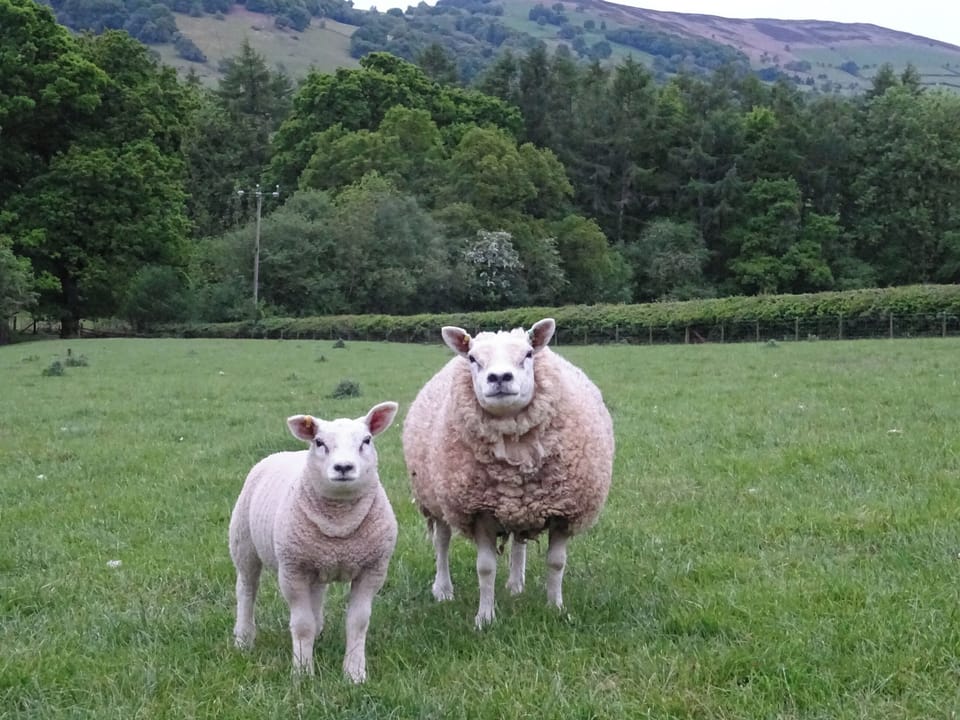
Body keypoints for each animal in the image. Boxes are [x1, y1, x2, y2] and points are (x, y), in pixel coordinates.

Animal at [229, 401, 399, 683]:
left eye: (366, 440)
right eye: (319, 442)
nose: (343, 467)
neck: (339, 524)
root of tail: (282, 452)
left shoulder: (372, 569)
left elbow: (358, 622)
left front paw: (354, 673)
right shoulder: (292, 571)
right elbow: (301, 624)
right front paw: (302, 673)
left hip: (316, 561)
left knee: (316, 594)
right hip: (243, 543)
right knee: (246, 589)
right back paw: (243, 639)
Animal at [402, 318, 614, 628]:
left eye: (528, 354)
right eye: (473, 358)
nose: (499, 377)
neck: (516, 448)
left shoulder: (564, 509)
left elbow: (556, 563)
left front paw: (556, 607)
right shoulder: (478, 509)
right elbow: (485, 568)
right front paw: (484, 618)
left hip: (520, 505)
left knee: (518, 542)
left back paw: (515, 585)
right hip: (434, 496)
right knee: (442, 541)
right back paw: (443, 589)